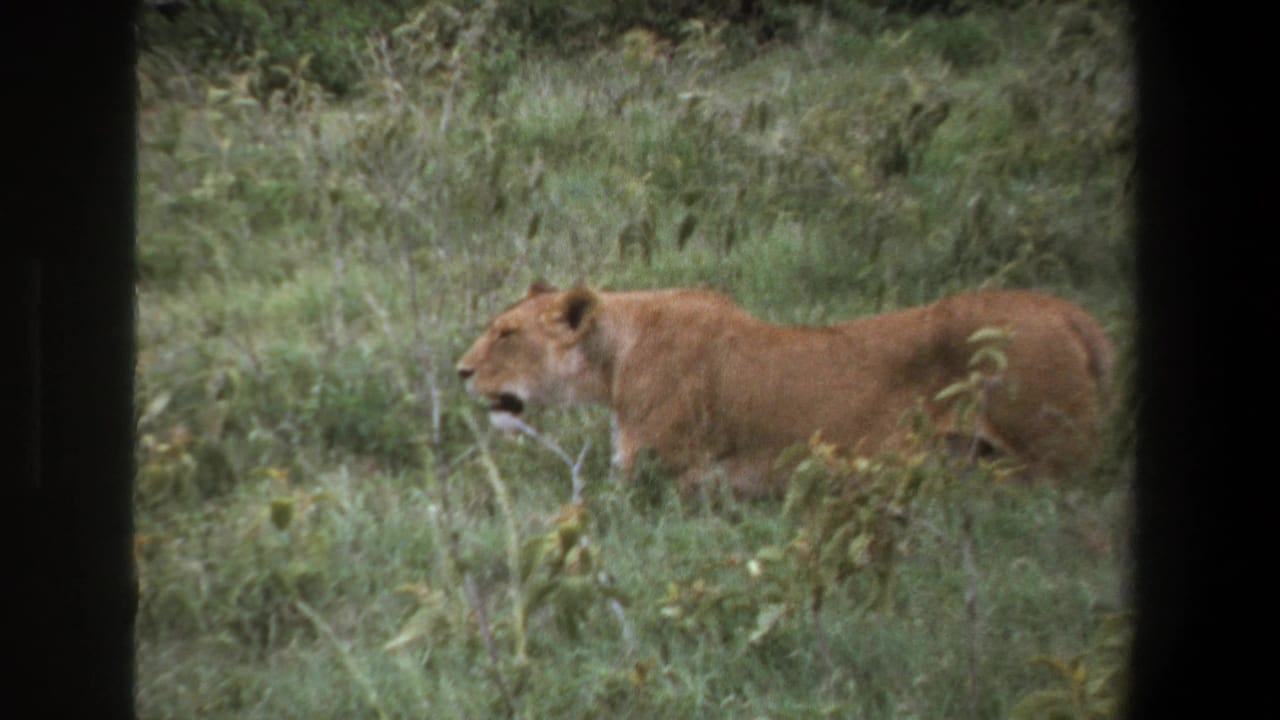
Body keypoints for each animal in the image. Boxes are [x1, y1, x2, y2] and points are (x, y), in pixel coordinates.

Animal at [457, 282, 1113, 498]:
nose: (460, 371)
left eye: (506, 333)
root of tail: (1074, 314)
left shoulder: (658, 477)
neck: (615, 355)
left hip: (1052, 462)